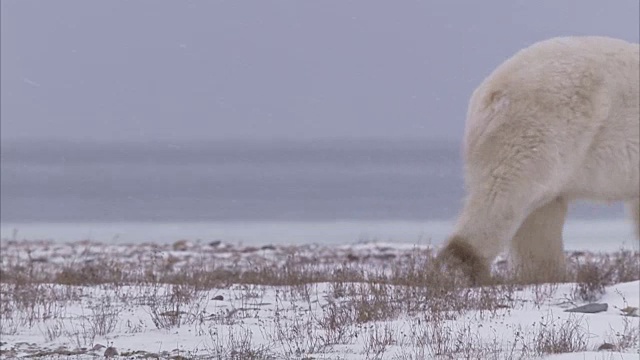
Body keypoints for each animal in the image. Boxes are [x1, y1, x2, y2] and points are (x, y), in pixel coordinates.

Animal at [438, 35, 636, 284]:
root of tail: (489, 91)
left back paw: (547, 276)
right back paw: (464, 270)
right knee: (503, 198)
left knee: (541, 213)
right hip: (542, 127)